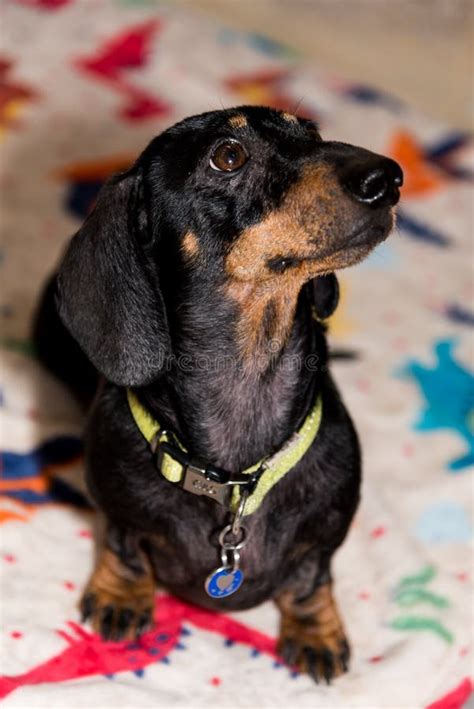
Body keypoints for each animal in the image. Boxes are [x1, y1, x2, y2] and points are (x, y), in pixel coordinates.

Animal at [34, 105, 404, 680]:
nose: (387, 178)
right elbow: (122, 545)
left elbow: (312, 577)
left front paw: (315, 630)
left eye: (312, 133)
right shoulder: (115, 508)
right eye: (228, 156)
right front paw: (122, 597)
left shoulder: (324, 539)